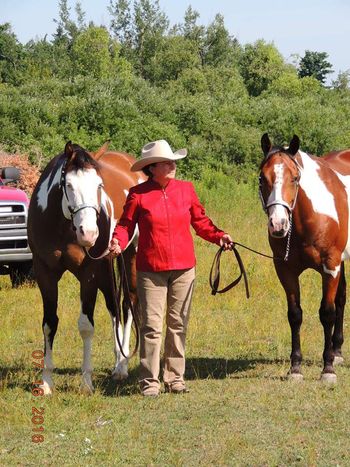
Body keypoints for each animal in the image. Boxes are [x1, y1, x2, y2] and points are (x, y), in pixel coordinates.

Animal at [27, 143, 145, 394]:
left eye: (99, 185)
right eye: (69, 185)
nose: (89, 234)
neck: (61, 226)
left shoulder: (88, 274)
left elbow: (86, 326)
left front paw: (86, 383)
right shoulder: (45, 273)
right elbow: (49, 323)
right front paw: (46, 382)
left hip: (130, 255)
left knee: (127, 303)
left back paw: (122, 366)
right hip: (107, 266)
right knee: (113, 306)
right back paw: (117, 358)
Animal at [258, 133, 348, 382]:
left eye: (295, 178)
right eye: (262, 178)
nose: (278, 224)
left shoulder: (330, 267)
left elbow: (327, 313)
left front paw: (327, 369)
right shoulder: (285, 270)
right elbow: (295, 315)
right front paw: (295, 368)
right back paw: (337, 351)